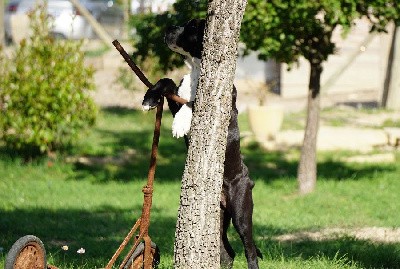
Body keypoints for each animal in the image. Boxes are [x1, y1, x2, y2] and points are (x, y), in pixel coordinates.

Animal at [141, 19, 262, 268]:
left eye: (191, 27)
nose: (167, 28)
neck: (198, 68)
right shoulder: (176, 98)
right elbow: (167, 81)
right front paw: (150, 97)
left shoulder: (217, 107)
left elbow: (193, 104)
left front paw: (179, 125)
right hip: (218, 218)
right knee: (227, 252)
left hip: (241, 213)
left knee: (250, 250)